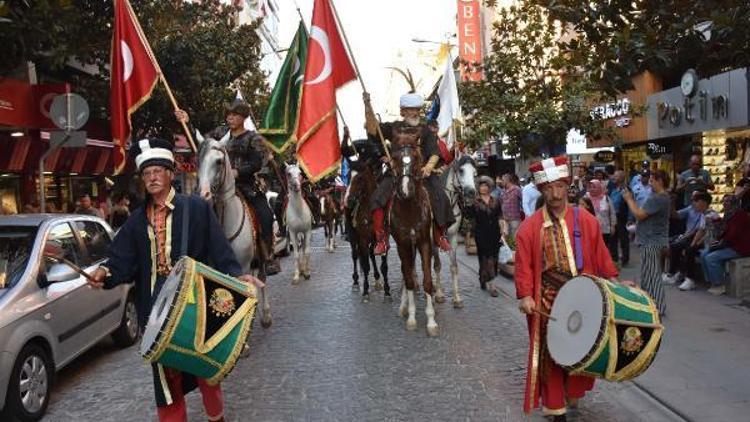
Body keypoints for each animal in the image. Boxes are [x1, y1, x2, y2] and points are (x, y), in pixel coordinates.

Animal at [197, 131, 274, 326]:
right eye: (198, 160)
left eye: (219, 161)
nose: (203, 194)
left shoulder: (243, 267)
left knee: (261, 278)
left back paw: (265, 315)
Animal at [346, 157, 390, 302]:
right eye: (348, 176)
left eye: (359, 178)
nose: (349, 200)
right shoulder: (363, 240)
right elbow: (365, 266)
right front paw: (365, 291)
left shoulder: (382, 239)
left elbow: (384, 266)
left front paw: (387, 291)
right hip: (353, 236)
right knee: (355, 255)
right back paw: (355, 282)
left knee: (371, 254)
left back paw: (377, 280)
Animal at [388, 130, 440, 334]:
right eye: (394, 158)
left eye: (417, 157)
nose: (405, 190)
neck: (410, 209)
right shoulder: (402, 244)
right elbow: (409, 279)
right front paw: (411, 317)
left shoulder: (424, 242)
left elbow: (427, 281)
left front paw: (431, 321)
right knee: (406, 273)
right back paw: (403, 307)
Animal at [432, 155, 478, 306]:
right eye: (461, 170)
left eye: (475, 173)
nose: (471, 193)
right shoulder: (434, 239)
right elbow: (437, 265)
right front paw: (439, 295)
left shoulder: (452, 238)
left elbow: (454, 266)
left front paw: (457, 298)